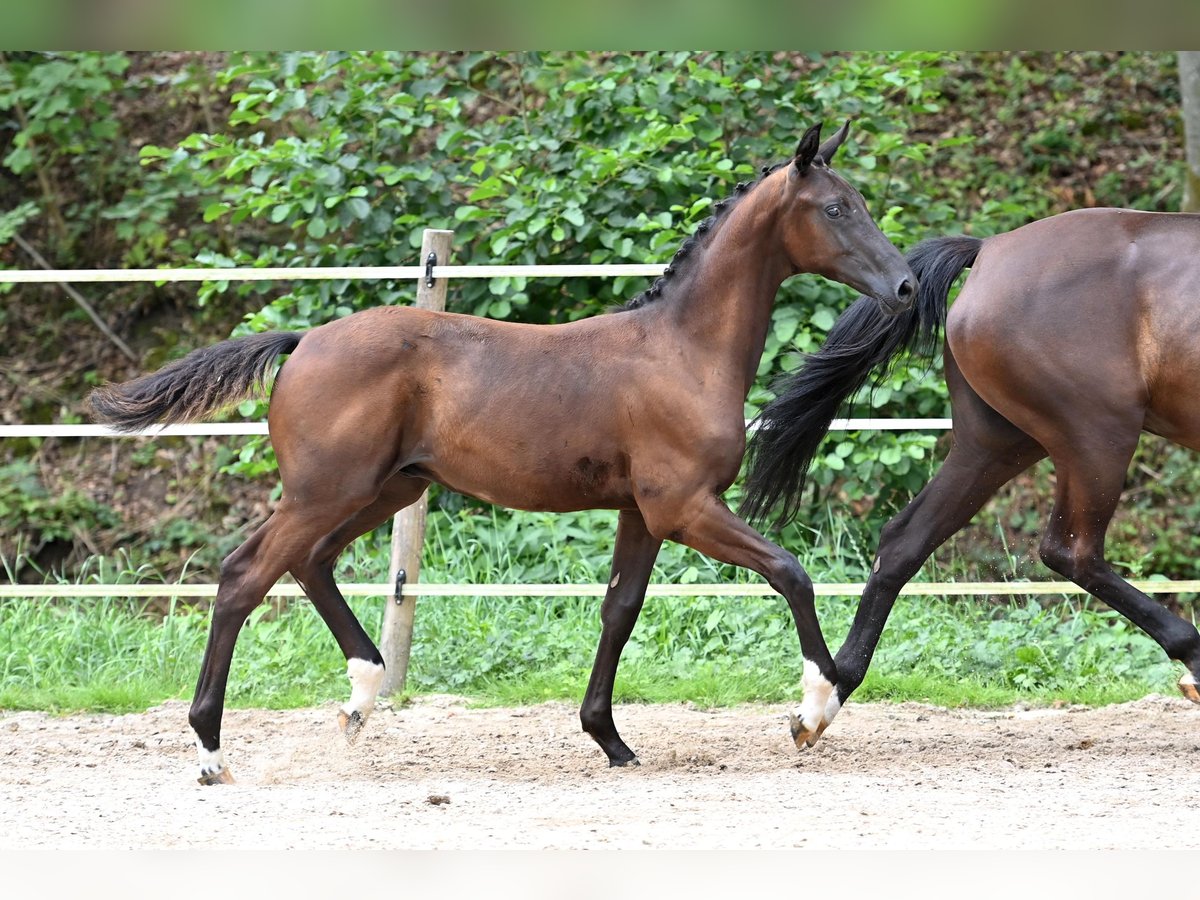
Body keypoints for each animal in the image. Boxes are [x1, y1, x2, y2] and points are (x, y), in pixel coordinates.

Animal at [91, 123, 916, 787]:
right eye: (836, 209)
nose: (907, 286)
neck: (682, 351)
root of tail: (303, 344)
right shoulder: (684, 508)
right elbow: (790, 572)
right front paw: (814, 711)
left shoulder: (641, 514)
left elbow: (620, 610)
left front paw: (609, 739)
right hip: (327, 491)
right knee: (244, 576)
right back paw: (211, 752)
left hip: (385, 490)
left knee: (310, 562)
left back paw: (360, 699)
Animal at [739, 207, 1200, 744]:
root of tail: (989, 251)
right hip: (1097, 435)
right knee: (1071, 551)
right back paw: (1195, 658)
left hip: (997, 445)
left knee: (904, 541)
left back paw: (823, 701)